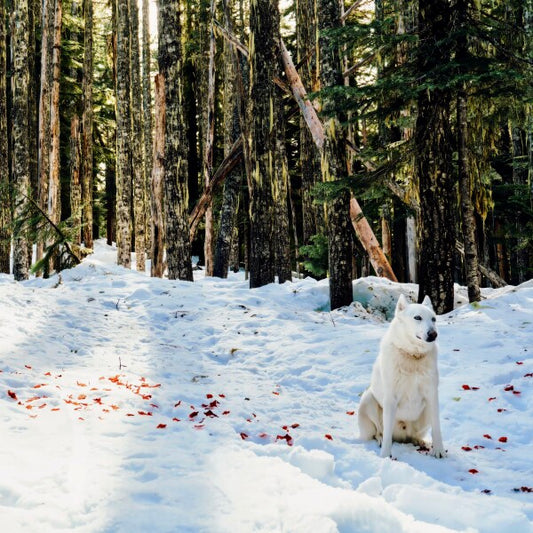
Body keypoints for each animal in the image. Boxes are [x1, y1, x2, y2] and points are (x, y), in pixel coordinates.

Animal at [358, 290, 444, 458]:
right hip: (368, 399)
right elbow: (386, 435)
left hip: (426, 412)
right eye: (417, 318)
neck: (412, 356)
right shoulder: (391, 398)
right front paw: (385, 456)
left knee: (415, 435)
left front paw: (439, 450)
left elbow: (437, 427)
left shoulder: (432, 395)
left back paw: (420, 441)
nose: (433, 334)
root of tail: (403, 436)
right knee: (379, 432)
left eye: (433, 319)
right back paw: (380, 440)